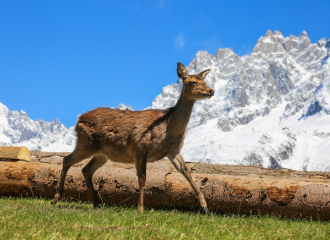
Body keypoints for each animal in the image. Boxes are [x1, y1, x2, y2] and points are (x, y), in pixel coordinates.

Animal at [52, 62, 214, 214]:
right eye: (193, 82)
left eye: (204, 81)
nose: (211, 90)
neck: (169, 128)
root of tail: (78, 120)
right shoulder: (141, 148)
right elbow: (142, 178)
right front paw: (141, 208)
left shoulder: (173, 151)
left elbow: (186, 172)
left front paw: (204, 206)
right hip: (86, 143)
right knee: (66, 160)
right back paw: (56, 198)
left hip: (102, 154)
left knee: (86, 170)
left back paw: (96, 204)